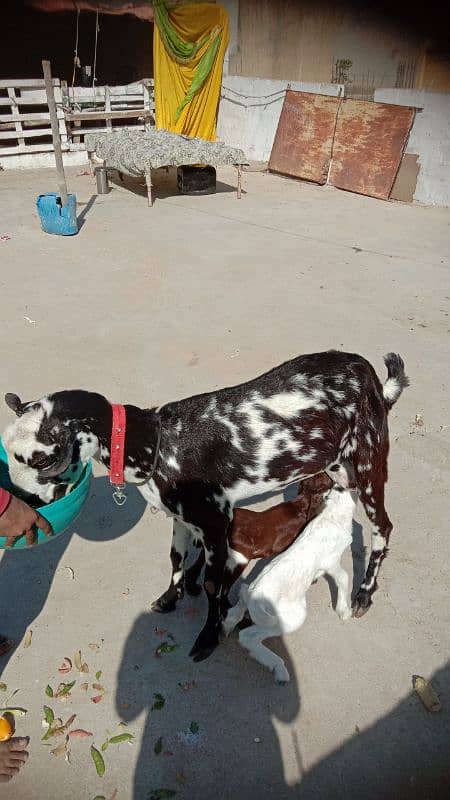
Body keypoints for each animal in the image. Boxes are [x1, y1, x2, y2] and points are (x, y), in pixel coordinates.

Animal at [1, 350, 408, 664]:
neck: (157, 442)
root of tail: (370, 376)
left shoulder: (214, 521)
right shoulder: (183, 518)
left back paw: (363, 595)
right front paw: (170, 598)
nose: (27, 502)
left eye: (40, 460)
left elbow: (214, 583)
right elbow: (176, 558)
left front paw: (207, 639)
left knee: (383, 526)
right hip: (336, 465)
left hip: (369, 460)